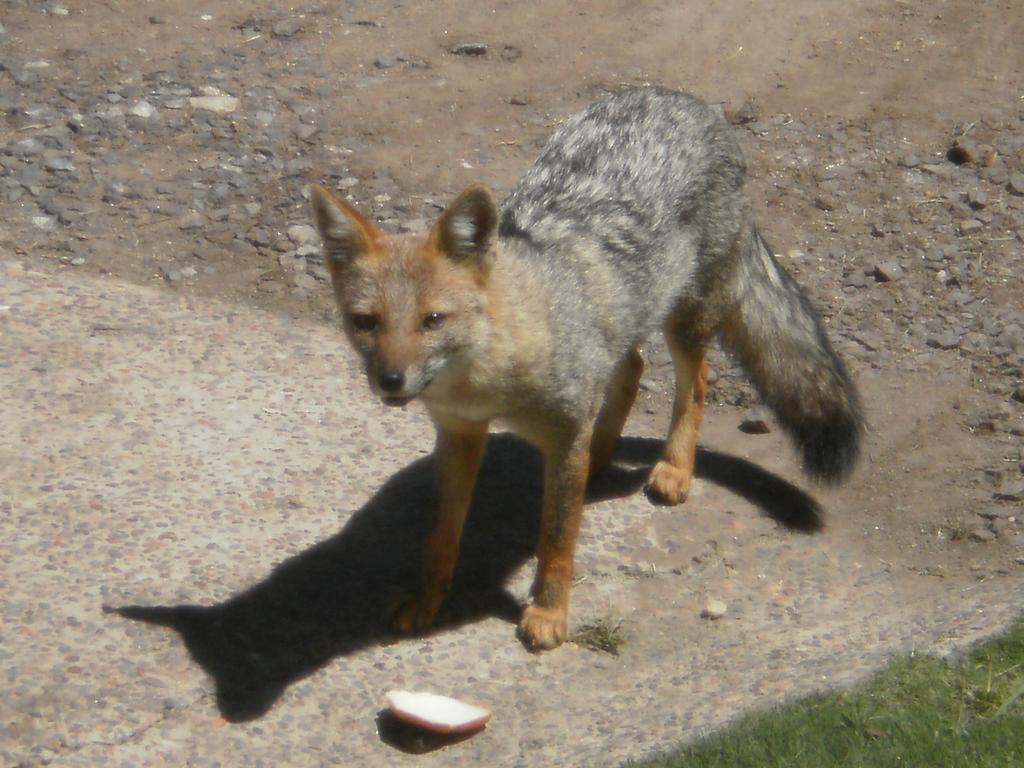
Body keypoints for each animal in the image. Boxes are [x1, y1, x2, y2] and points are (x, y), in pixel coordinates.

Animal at [305, 85, 864, 651]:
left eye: (432, 320)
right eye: (365, 323)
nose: (390, 382)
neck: (488, 381)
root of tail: (682, 98)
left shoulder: (564, 427)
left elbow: (557, 539)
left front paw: (549, 614)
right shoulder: (461, 433)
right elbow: (441, 537)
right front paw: (427, 600)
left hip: (684, 322)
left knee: (696, 385)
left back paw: (674, 468)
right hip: (624, 330)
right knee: (630, 373)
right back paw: (599, 457)